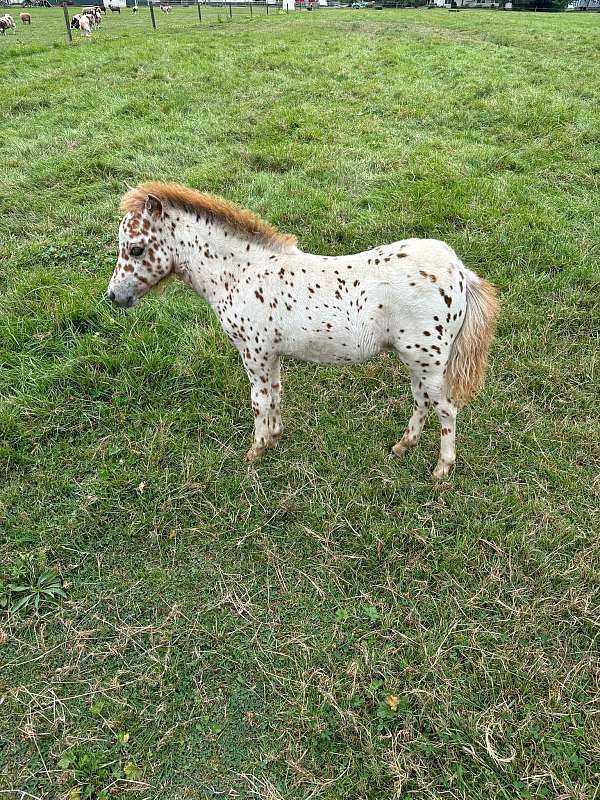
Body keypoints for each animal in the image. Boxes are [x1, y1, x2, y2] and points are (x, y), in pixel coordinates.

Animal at [106, 183, 496, 476]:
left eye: (136, 249)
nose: (113, 296)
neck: (241, 273)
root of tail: (460, 272)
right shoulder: (271, 354)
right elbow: (276, 394)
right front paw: (274, 438)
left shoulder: (253, 352)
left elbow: (259, 400)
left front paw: (255, 451)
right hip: (418, 360)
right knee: (422, 401)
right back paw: (402, 446)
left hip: (427, 359)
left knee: (446, 408)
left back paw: (442, 470)